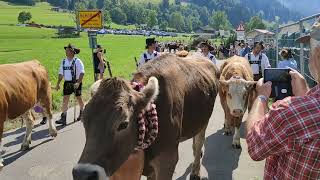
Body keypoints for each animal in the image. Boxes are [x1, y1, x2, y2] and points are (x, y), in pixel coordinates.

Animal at [73, 53, 220, 180]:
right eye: (83, 120)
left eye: (123, 124)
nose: (82, 175)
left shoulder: (167, 160)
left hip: (203, 121)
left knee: (198, 143)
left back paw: (195, 171)